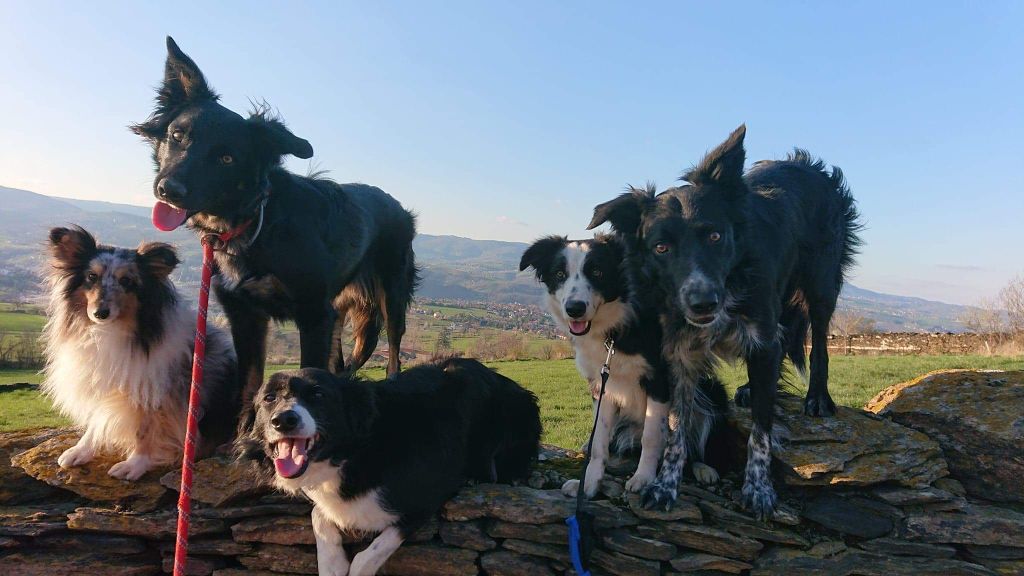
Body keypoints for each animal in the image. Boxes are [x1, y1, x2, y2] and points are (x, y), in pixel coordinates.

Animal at [134, 36, 417, 403]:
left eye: (227, 158)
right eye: (178, 135)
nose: (169, 190)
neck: (258, 224)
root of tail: (397, 204)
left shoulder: (314, 313)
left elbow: (309, 374)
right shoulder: (245, 314)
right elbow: (248, 386)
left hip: (391, 290)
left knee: (394, 345)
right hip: (340, 303)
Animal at [237, 356, 544, 569]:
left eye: (318, 395)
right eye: (269, 398)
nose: (283, 420)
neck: (354, 453)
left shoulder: (424, 499)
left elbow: (368, 555)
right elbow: (319, 516)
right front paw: (333, 565)